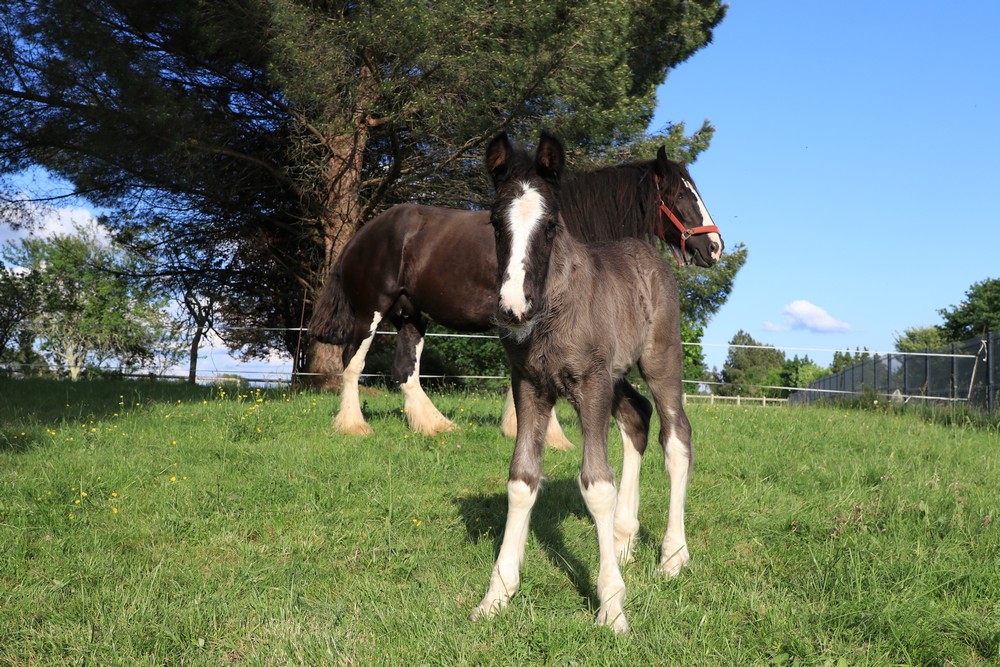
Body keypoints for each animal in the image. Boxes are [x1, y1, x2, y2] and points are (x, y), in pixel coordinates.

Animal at [304, 146, 720, 444]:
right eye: (681, 195)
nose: (715, 247)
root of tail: (366, 231)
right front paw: (552, 437)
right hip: (371, 311)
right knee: (352, 362)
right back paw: (354, 425)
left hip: (411, 315)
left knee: (406, 370)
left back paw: (435, 425)